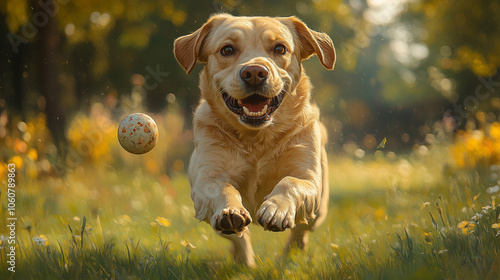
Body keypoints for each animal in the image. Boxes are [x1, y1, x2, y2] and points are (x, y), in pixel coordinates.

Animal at [174, 13, 334, 266]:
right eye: (227, 49)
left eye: (280, 48)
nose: (255, 72)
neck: (257, 138)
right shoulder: (206, 179)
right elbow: (223, 188)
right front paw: (231, 211)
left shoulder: (308, 179)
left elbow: (290, 182)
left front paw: (276, 210)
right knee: (238, 237)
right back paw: (245, 261)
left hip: (319, 210)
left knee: (302, 231)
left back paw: (290, 256)